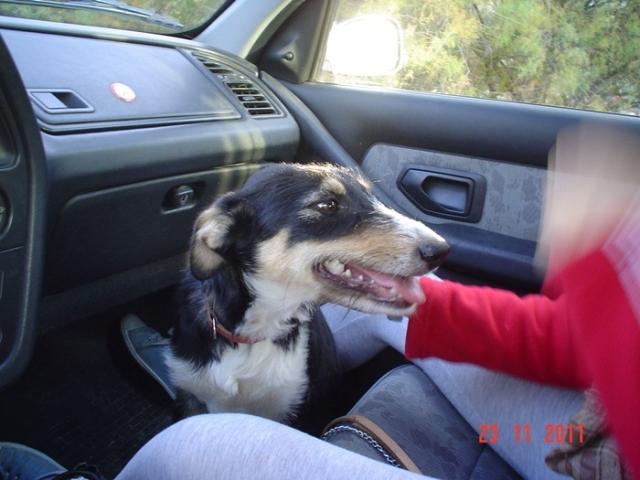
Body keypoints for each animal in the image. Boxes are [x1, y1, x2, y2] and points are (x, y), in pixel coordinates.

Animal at [166, 162, 449, 424]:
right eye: (327, 205)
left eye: (372, 196)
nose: (441, 250)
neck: (253, 335)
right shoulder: (189, 396)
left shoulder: (296, 409)